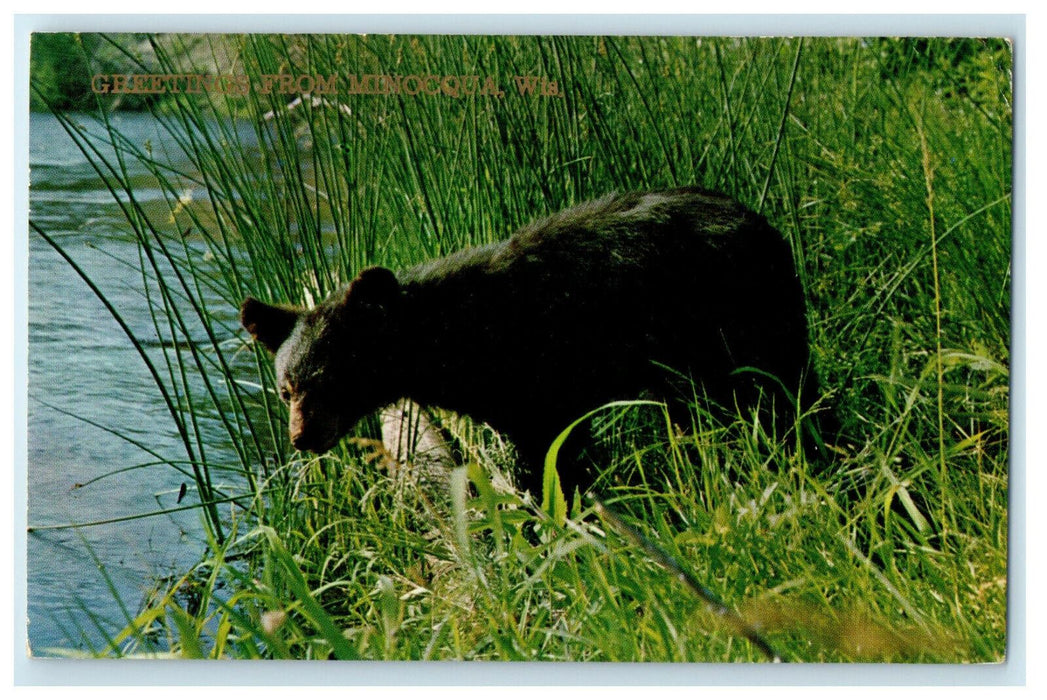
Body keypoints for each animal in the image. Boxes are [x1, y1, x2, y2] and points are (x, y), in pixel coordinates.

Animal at [240, 187, 823, 498]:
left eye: (332, 378)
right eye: (287, 388)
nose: (301, 438)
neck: (455, 338)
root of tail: (767, 228)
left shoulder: (543, 378)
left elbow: (555, 459)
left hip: (740, 327)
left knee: (782, 395)